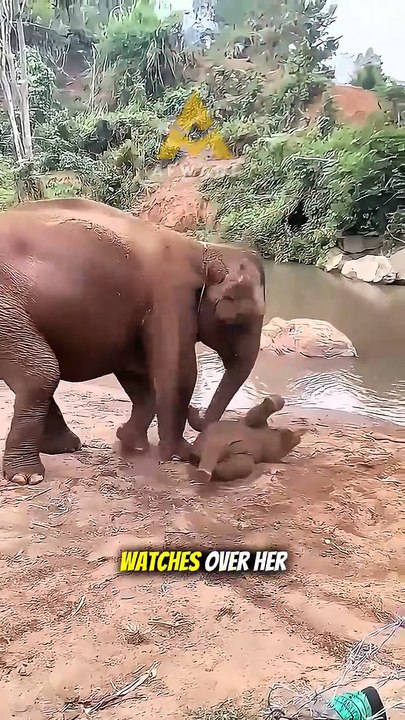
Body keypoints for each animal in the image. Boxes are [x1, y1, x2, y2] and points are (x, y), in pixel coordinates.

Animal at [0, 197, 265, 485]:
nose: (196, 411)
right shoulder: (171, 296)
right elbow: (178, 371)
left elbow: (137, 374)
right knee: (42, 374)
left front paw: (131, 442)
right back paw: (28, 476)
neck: (204, 250)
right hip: (6, 307)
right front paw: (179, 454)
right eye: (240, 320)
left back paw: (65, 447)